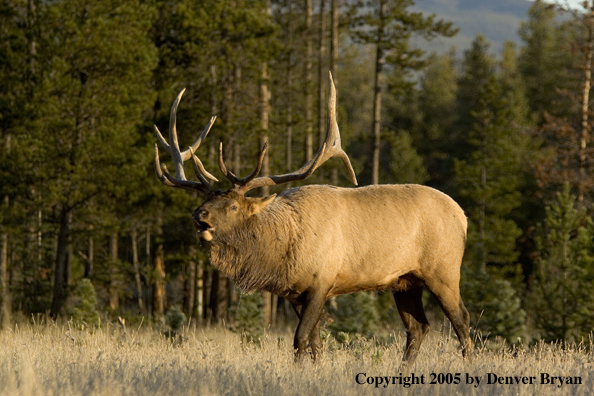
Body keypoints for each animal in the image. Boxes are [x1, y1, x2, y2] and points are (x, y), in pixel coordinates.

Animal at [154, 72, 472, 364]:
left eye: (232, 206)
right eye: (205, 200)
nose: (198, 215)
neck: (280, 251)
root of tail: (462, 216)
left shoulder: (322, 281)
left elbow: (300, 338)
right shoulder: (294, 292)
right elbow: (314, 343)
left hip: (443, 270)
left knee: (462, 319)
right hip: (405, 281)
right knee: (418, 327)